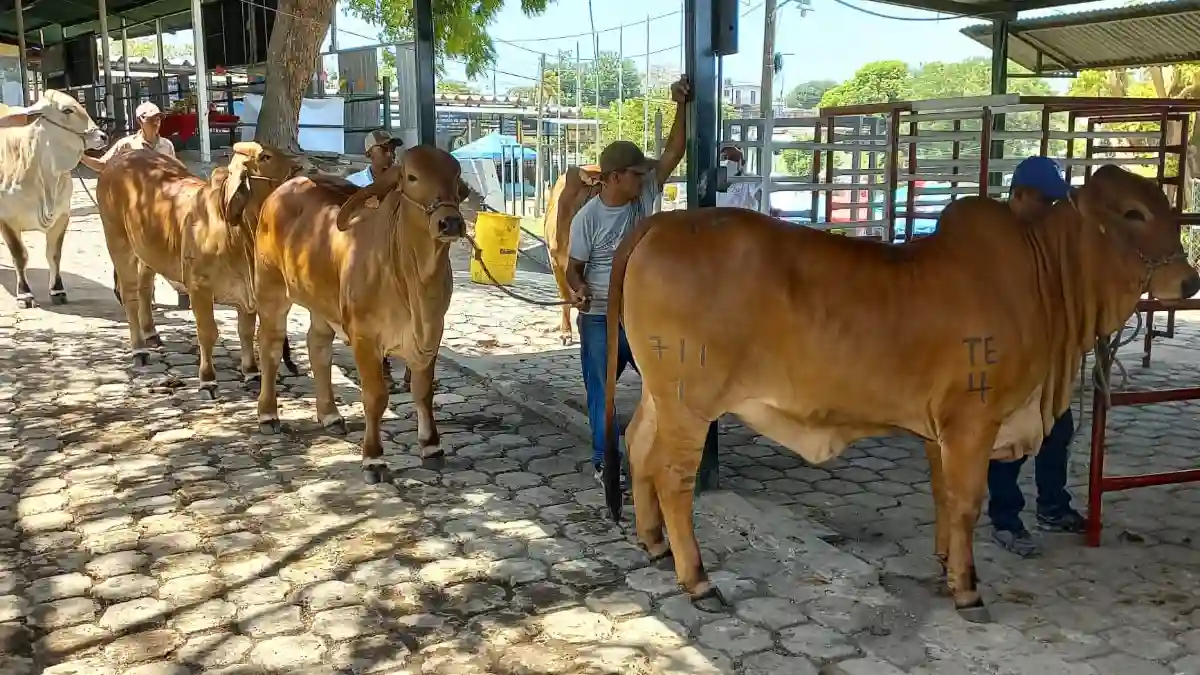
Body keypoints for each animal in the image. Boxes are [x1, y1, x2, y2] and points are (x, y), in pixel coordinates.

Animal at [0, 90, 106, 306]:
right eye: (67, 110)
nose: (102, 136)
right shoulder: (6, 219)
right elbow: (19, 256)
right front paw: (25, 293)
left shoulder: (62, 216)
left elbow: (54, 254)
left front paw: (57, 290)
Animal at [99, 144, 304, 391]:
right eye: (265, 156)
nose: (300, 167)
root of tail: (121, 157)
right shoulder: (199, 287)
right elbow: (208, 332)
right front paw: (207, 379)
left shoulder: (248, 293)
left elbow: (245, 332)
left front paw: (252, 372)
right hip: (118, 242)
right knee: (129, 296)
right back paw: (139, 349)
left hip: (146, 251)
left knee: (145, 289)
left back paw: (151, 334)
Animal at [254, 144, 468, 480]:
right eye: (412, 176)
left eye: (456, 176)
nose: (451, 222)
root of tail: (286, 186)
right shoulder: (365, 337)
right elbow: (376, 395)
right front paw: (374, 457)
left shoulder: (432, 335)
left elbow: (422, 391)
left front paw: (431, 446)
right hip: (270, 288)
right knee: (270, 346)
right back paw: (267, 415)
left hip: (321, 302)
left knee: (317, 347)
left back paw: (330, 415)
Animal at [604, 165, 1200, 619]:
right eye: (1132, 213)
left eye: (1168, 209)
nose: (1189, 282)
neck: (1046, 281)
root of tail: (661, 222)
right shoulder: (973, 421)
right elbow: (967, 502)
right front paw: (968, 590)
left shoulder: (941, 430)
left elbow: (943, 497)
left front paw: (945, 566)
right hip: (689, 401)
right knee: (673, 476)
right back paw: (698, 580)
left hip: (661, 395)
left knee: (637, 447)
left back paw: (654, 544)